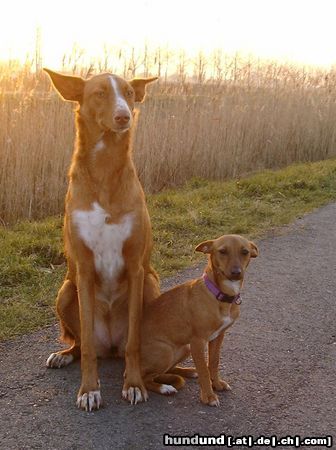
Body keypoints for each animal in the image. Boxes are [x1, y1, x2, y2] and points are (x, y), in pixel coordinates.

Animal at [44, 68, 159, 410]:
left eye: (129, 94)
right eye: (99, 93)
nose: (124, 117)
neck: (106, 166)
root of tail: (109, 345)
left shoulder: (136, 268)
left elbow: (134, 341)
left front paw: (133, 384)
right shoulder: (82, 270)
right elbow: (87, 352)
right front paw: (89, 389)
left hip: (151, 284)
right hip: (65, 290)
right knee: (83, 344)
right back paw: (64, 355)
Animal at [139, 234, 258, 406]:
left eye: (245, 252)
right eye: (222, 251)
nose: (236, 272)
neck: (219, 295)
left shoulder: (218, 337)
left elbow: (213, 362)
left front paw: (217, 384)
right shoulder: (198, 341)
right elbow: (203, 369)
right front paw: (208, 395)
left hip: (185, 348)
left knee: (164, 371)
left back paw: (188, 372)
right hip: (166, 351)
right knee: (145, 378)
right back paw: (165, 387)